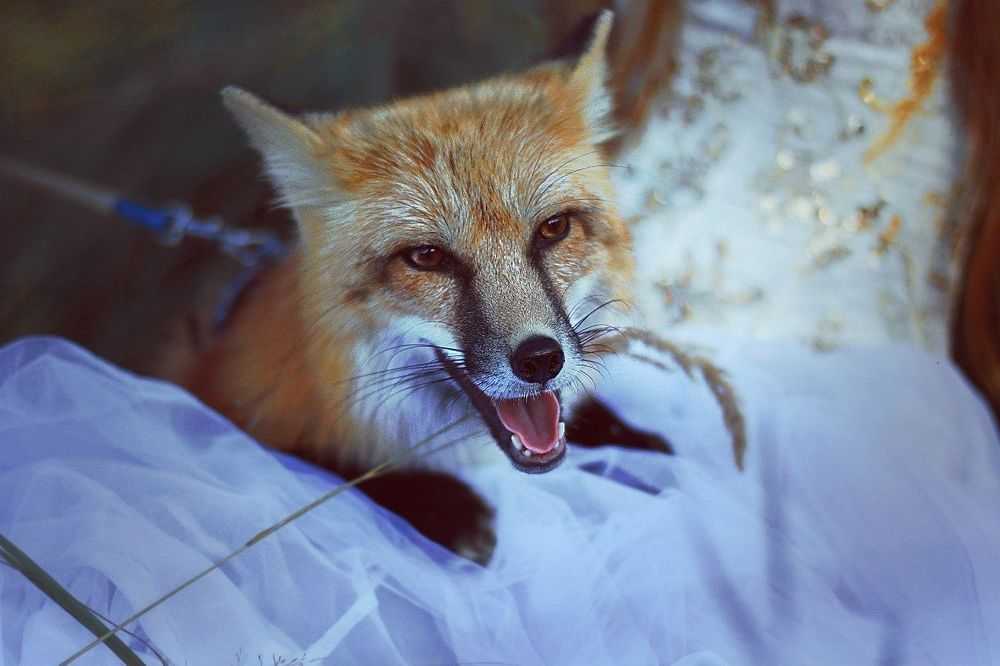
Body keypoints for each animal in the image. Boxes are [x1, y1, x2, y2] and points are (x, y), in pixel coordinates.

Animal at [186, 12, 676, 563]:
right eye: (426, 257)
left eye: (553, 228)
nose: (541, 360)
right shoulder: (234, 407)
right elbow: (330, 465)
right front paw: (442, 504)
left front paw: (634, 442)